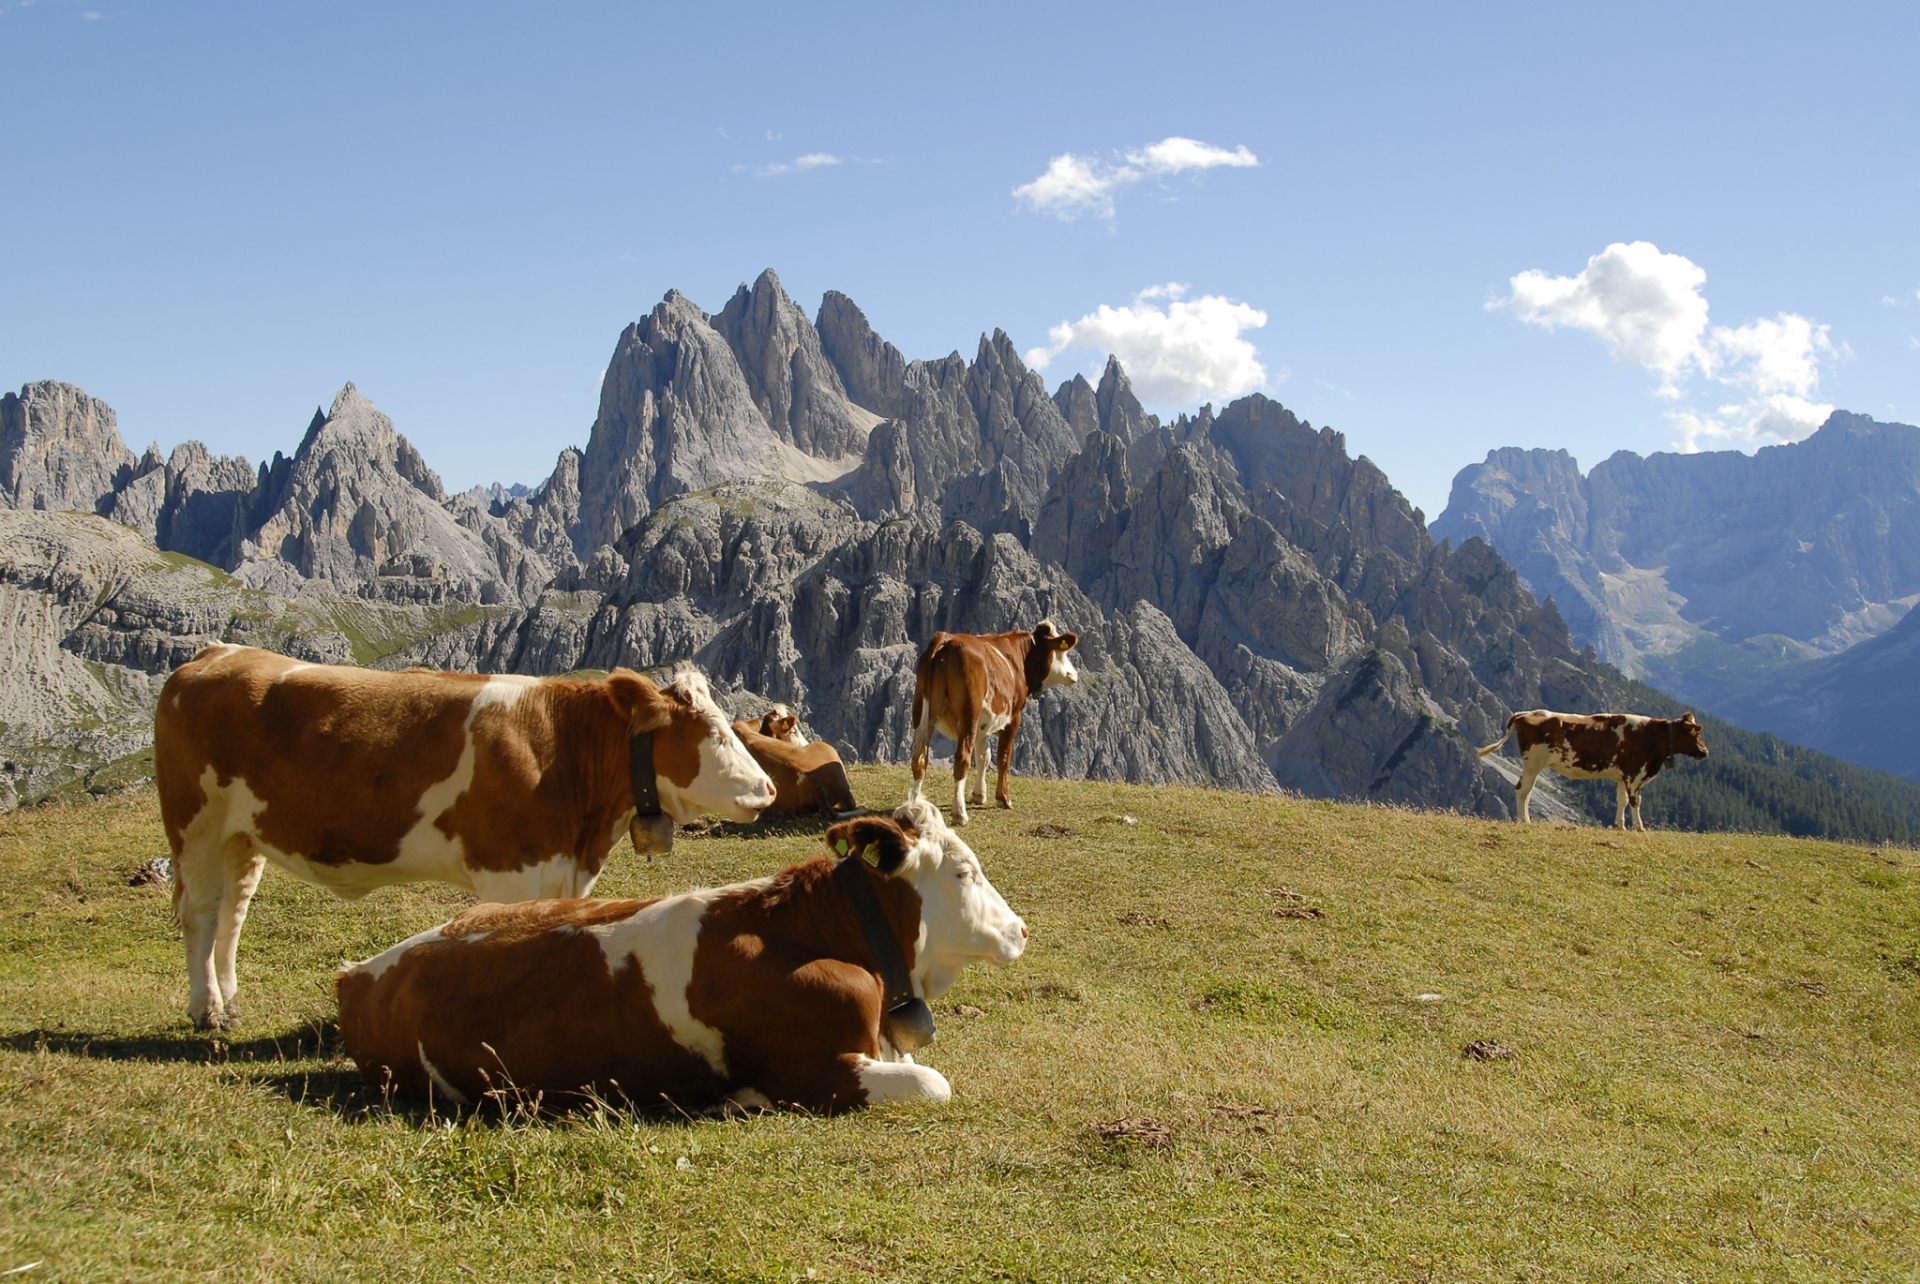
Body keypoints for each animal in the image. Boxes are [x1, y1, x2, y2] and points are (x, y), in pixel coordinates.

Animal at [153, 644, 775, 1028]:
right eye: (713, 732)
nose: (768, 789)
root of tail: (213, 654)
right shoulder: (510, 871)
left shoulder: (562, 870)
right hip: (195, 824)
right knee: (202, 913)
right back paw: (207, 1010)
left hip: (242, 838)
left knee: (233, 912)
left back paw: (230, 1001)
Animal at [902, 618, 1075, 821]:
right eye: (1062, 652)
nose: (1074, 674)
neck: (1022, 658)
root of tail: (945, 639)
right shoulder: (1013, 718)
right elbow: (1003, 757)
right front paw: (1003, 798)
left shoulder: (982, 725)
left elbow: (984, 756)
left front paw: (979, 795)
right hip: (969, 713)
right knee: (962, 758)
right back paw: (959, 813)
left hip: (923, 712)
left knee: (919, 758)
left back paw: (914, 806)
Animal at [1482, 706, 1712, 825]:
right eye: (1696, 733)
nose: (1705, 751)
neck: (1651, 736)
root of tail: (1525, 713)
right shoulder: (1634, 774)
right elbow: (1635, 802)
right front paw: (1640, 828)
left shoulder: (1623, 776)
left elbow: (1622, 801)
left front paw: (1620, 827)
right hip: (1534, 763)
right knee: (1523, 790)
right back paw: (1525, 820)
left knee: (1524, 790)